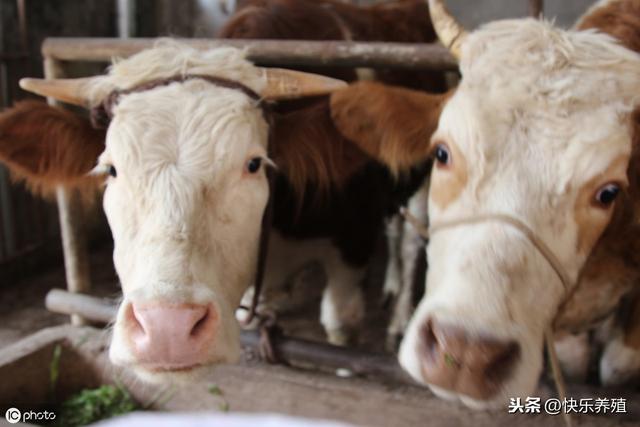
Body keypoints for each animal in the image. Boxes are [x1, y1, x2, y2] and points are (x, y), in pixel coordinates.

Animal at [0, 41, 448, 382]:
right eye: (111, 169)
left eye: (253, 164)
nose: (167, 330)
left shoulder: (352, 243)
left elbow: (341, 326)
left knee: (412, 238)